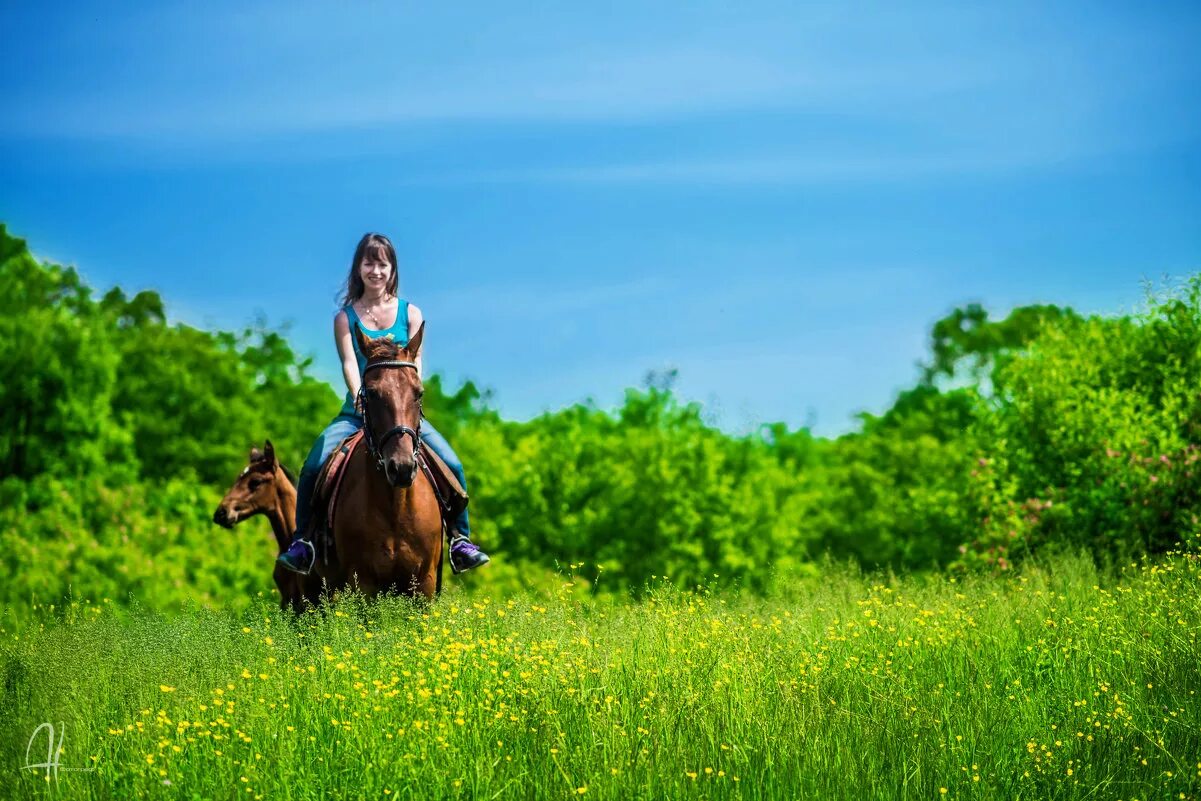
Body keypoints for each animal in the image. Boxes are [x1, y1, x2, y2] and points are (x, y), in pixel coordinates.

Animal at [317, 321, 449, 598]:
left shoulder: (425, 582)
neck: (395, 507)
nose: (401, 467)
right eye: (371, 394)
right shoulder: (362, 583)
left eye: (419, 393)